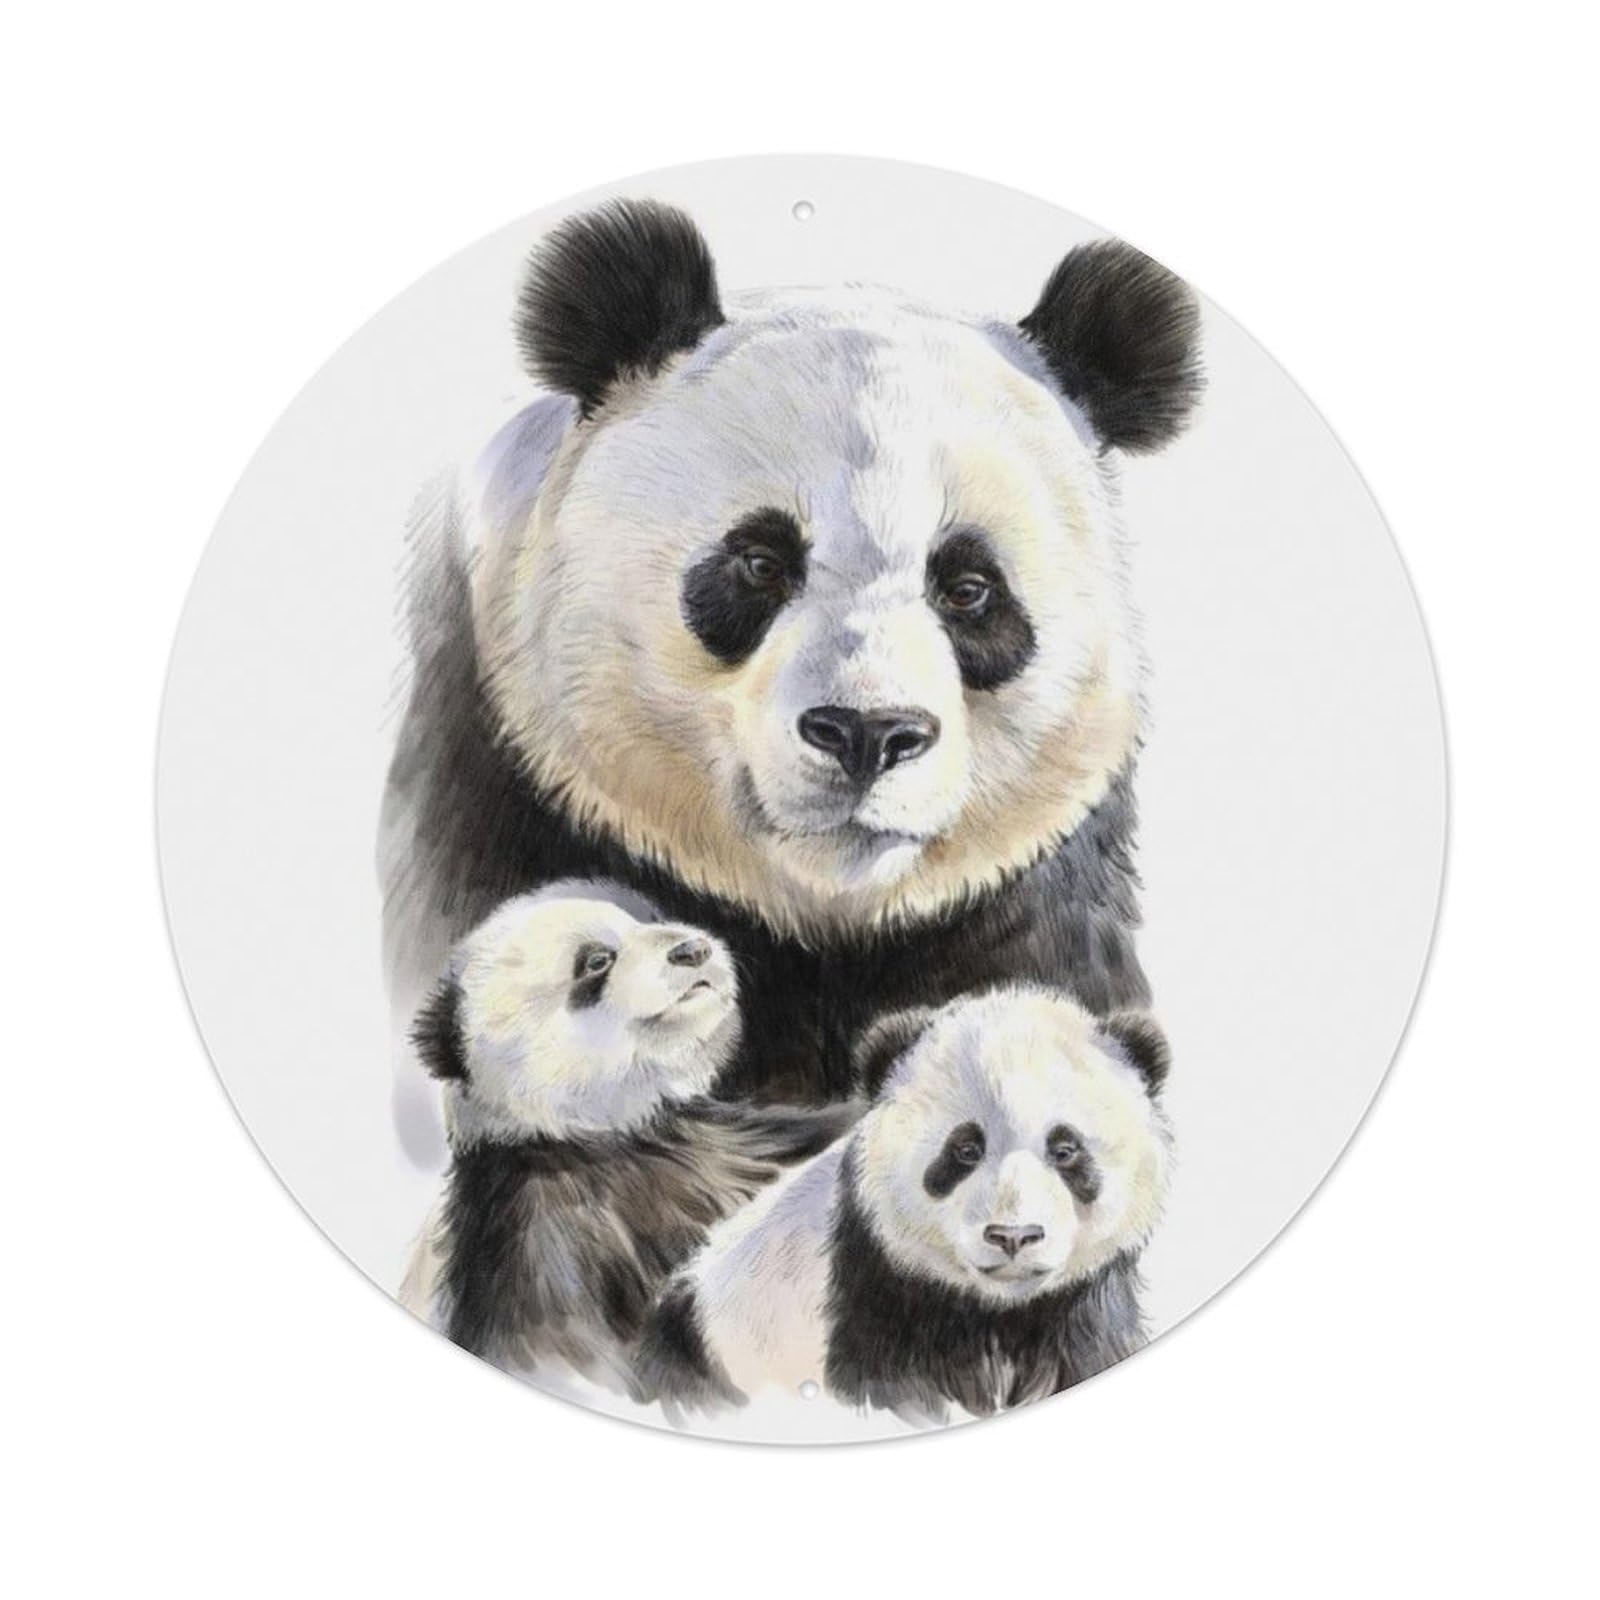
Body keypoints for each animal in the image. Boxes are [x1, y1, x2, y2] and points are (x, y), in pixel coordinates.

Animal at [381, 197, 1202, 1131]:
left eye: (968, 588)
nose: (867, 733)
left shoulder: (1034, 903)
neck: (826, 921)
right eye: (760, 562)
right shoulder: (498, 793)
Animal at [634, 986, 1172, 1423]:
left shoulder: (1077, 1309)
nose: (1013, 1236)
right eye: (964, 1150)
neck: (997, 1311)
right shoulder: (883, 1295)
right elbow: (895, 1391)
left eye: (1065, 1149)